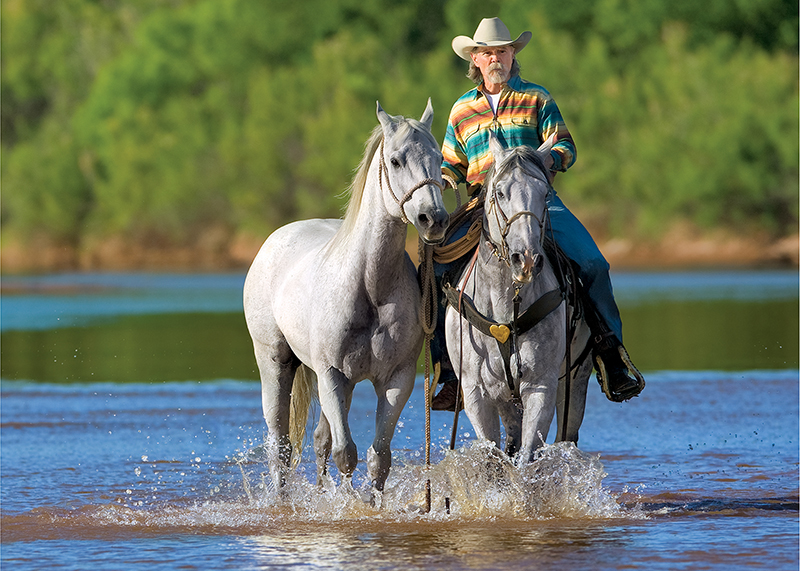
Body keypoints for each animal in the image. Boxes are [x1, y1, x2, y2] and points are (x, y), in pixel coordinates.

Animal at [243, 100, 448, 496]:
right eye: (395, 160)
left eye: (439, 158)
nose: (433, 219)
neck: (369, 286)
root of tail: (273, 240)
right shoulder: (332, 374)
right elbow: (345, 454)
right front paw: (347, 504)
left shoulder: (396, 380)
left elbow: (378, 459)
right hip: (276, 363)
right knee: (281, 445)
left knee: (319, 440)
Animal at [443, 132, 594, 464]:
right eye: (500, 193)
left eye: (545, 194)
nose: (525, 260)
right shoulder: (476, 392)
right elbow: (494, 456)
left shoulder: (541, 387)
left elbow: (527, 457)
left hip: (575, 379)